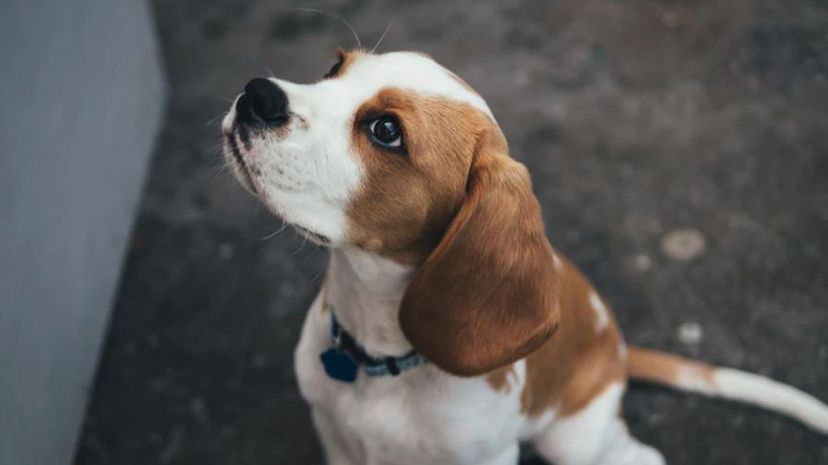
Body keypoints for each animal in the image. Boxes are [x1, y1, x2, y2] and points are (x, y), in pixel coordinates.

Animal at [220, 48, 828, 464]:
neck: (380, 354)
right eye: (334, 67)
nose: (257, 94)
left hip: (573, 441)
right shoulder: (337, 440)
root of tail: (620, 349)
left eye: (385, 130)